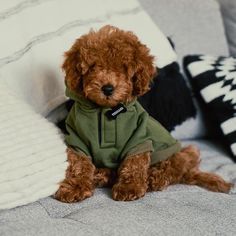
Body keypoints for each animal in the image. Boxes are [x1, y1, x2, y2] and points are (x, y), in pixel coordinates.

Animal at [55, 25, 232, 203]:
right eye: (93, 67)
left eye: (123, 68)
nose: (108, 88)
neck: (106, 109)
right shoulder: (77, 139)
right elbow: (79, 164)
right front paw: (75, 187)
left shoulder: (139, 138)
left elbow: (134, 163)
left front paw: (129, 187)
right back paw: (103, 174)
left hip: (179, 152)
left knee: (177, 166)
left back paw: (154, 178)